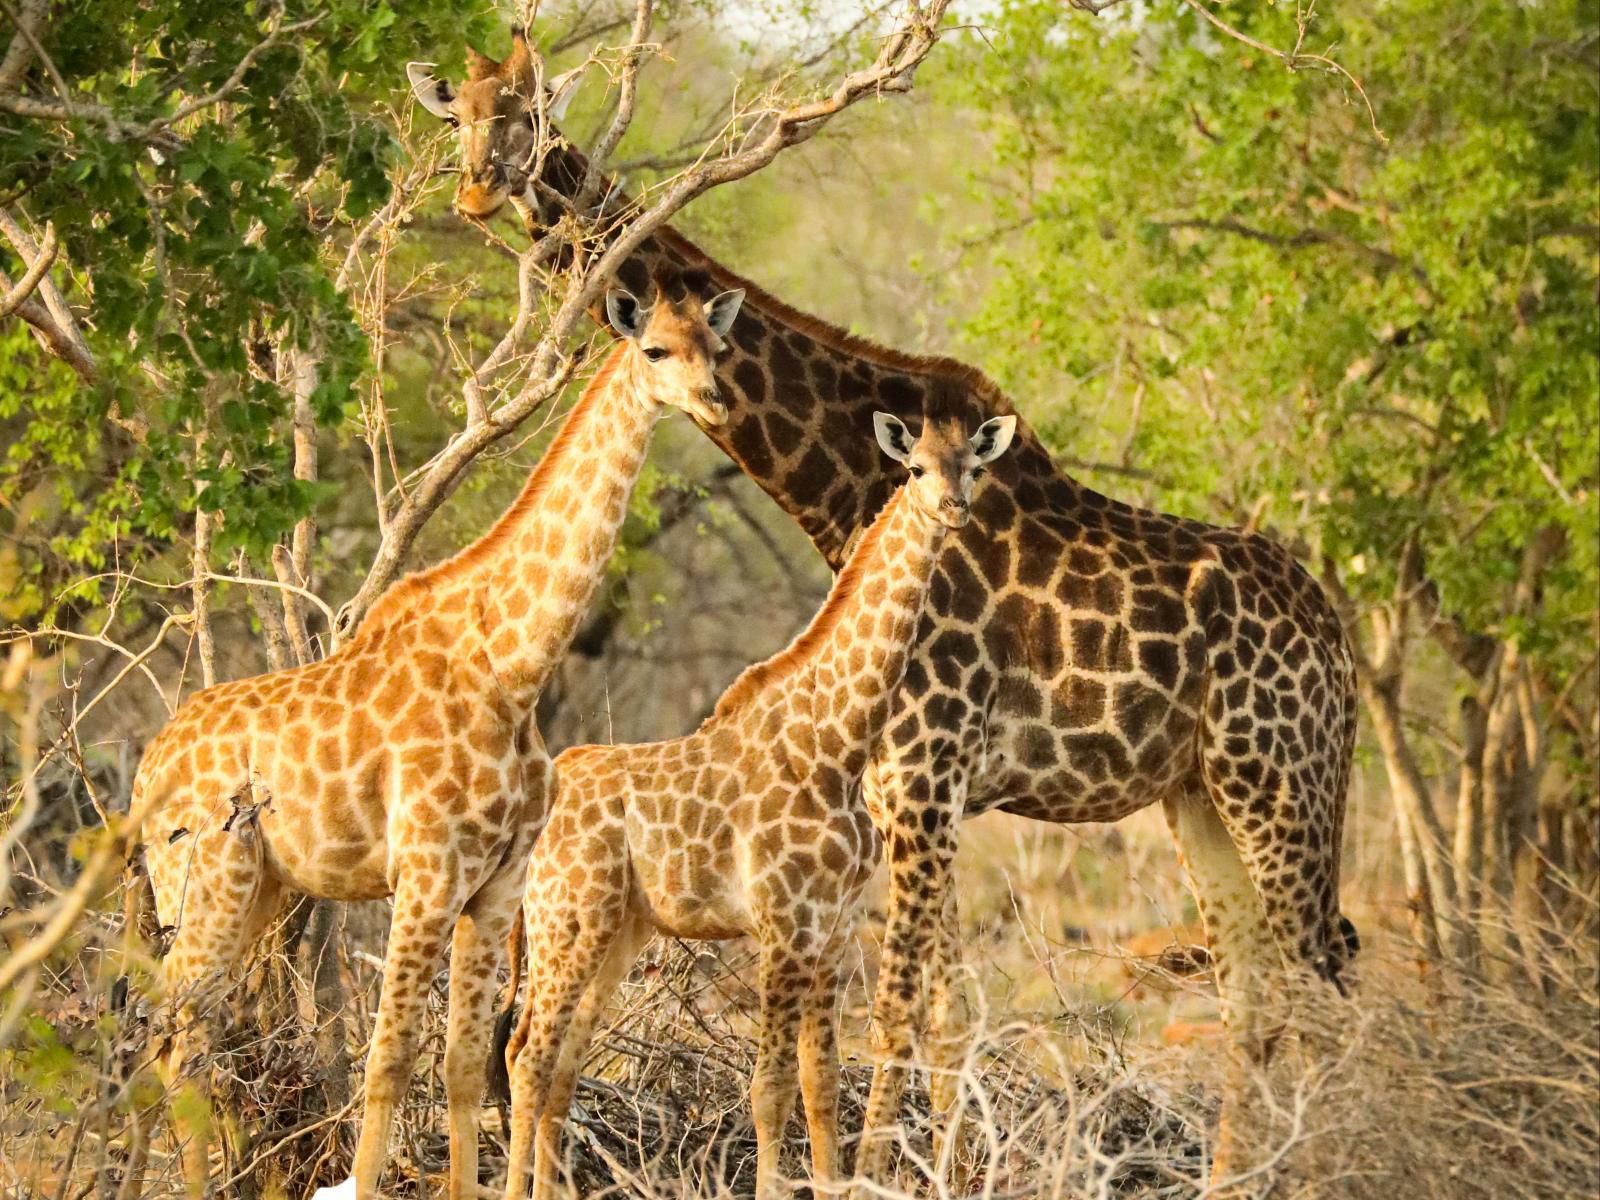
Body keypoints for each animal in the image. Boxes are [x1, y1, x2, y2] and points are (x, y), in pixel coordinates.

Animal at [134, 281, 745, 1200]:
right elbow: (388, 1059)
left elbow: (462, 1066)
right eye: (655, 351)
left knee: (182, 1037)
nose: (716, 401)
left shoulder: (496, 885)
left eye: (717, 344)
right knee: (176, 1032)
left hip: (256, 890)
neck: (513, 664)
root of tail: (144, 774)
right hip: (206, 879)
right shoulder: (425, 873)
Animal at [499, 404, 1017, 1200]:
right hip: (568, 919)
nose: (953, 507)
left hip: (619, 930)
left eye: (975, 467)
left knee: (557, 1066)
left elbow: (820, 1083)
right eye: (915, 466)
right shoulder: (782, 923)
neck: (838, 740)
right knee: (528, 1056)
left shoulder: (832, 930)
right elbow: (769, 1087)